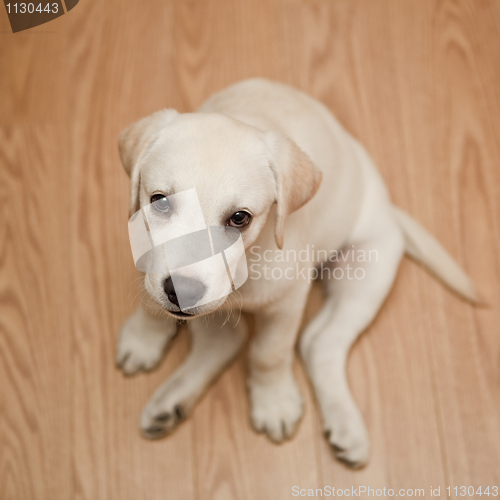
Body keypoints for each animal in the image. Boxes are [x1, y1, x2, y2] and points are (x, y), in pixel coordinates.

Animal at [115, 78, 478, 468]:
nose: (182, 290)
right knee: (229, 340)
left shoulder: (287, 302)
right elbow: (152, 304)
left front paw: (274, 403)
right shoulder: (147, 256)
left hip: (367, 273)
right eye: (160, 201)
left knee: (319, 343)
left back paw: (347, 427)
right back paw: (170, 403)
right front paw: (143, 339)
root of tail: (388, 209)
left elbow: (269, 353)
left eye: (240, 218)